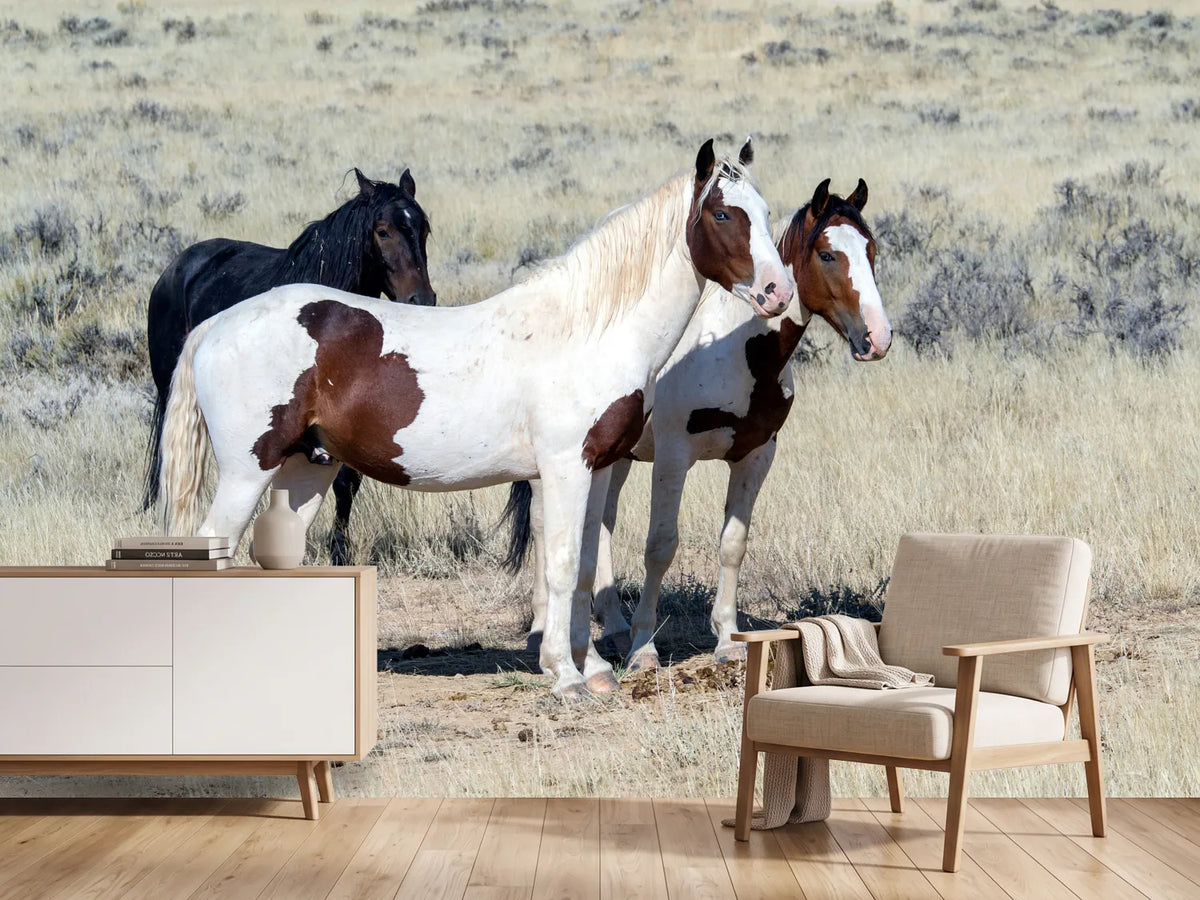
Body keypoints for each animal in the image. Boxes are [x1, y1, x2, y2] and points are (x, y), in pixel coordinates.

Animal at [142, 168, 436, 565]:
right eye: (382, 230)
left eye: (423, 228)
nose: (422, 299)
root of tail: (178, 266)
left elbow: (347, 482)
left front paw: (338, 548)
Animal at [508, 178, 890, 670]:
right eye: (827, 255)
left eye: (871, 249)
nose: (878, 338)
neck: (737, 352)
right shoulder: (674, 456)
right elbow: (660, 546)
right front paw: (644, 646)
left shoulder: (756, 454)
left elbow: (732, 544)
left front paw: (727, 638)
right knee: (543, 525)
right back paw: (544, 630)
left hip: (615, 458)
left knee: (602, 524)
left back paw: (611, 625)